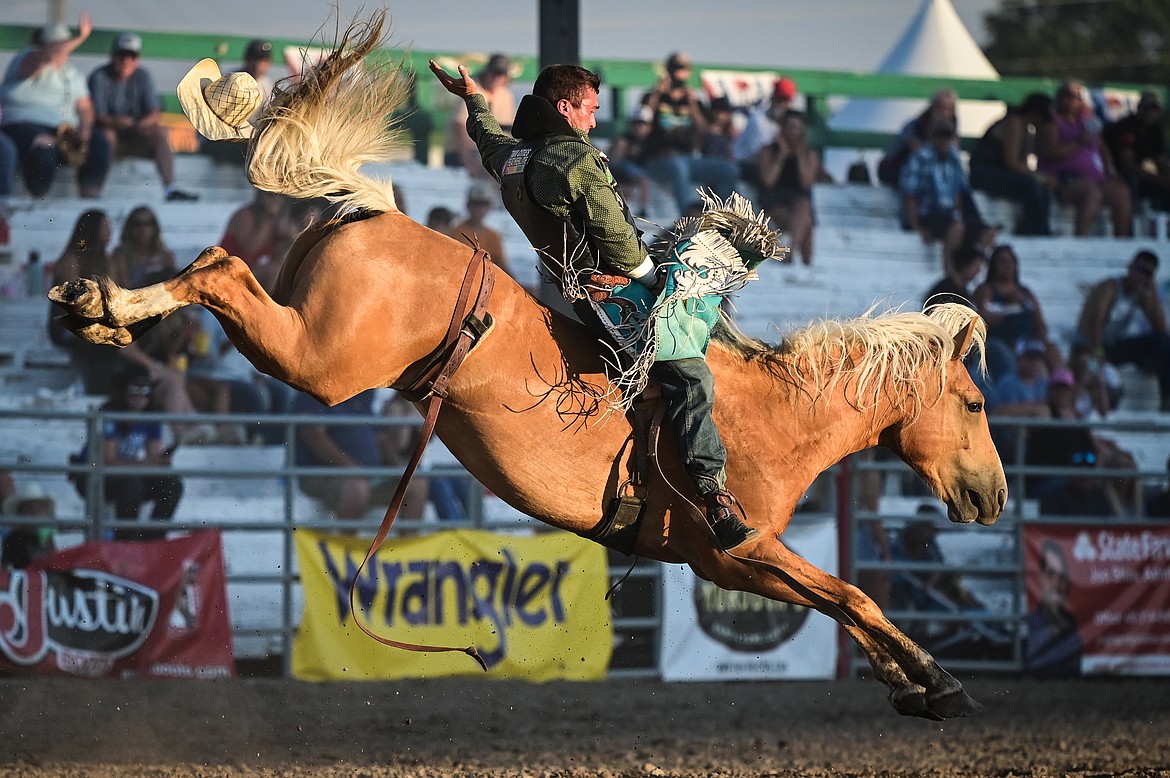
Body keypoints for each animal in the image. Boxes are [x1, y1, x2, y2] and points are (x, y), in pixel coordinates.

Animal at [50, 13, 1006, 715]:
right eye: (974, 403)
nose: (993, 496)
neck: (776, 414)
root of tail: (373, 207)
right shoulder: (737, 552)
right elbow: (853, 595)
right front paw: (939, 683)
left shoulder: (740, 562)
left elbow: (843, 601)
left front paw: (911, 682)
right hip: (319, 359)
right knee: (220, 270)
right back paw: (107, 309)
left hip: (302, 332)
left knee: (217, 265)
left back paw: (99, 307)